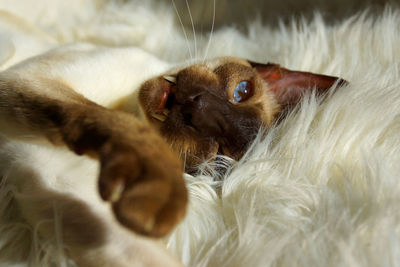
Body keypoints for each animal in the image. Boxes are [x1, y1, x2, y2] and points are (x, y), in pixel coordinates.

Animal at [0, 13, 344, 267]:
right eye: (242, 91)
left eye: (218, 150)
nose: (196, 109)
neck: (129, 104)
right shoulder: (23, 80)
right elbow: (112, 121)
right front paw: (164, 192)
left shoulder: (59, 182)